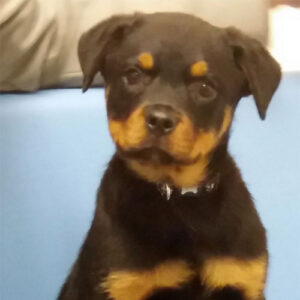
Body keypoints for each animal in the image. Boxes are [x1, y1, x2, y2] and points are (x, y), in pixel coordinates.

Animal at [59, 12, 282, 300]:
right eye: (133, 75)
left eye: (205, 87)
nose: (160, 120)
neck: (178, 196)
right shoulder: (122, 281)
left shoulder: (241, 277)